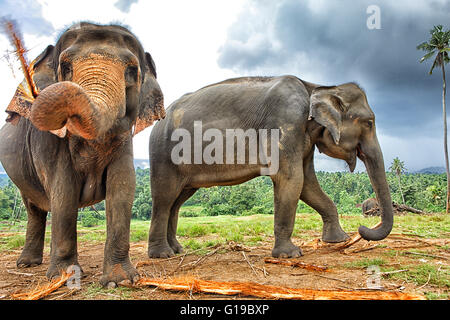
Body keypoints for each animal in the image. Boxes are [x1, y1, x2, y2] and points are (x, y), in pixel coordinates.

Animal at [0, 22, 165, 288]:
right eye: (65, 67)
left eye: (132, 70)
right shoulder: (47, 144)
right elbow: (63, 191)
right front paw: (65, 277)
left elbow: (122, 186)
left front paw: (120, 281)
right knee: (34, 208)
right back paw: (27, 264)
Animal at [148, 74, 394, 258]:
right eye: (369, 123)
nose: (362, 230)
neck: (316, 86)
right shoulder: (286, 122)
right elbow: (291, 179)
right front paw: (289, 255)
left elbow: (307, 184)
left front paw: (338, 240)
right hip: (162, 154)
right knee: (164, 198)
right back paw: (162, 255)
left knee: (177, 201)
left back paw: (177, 250)